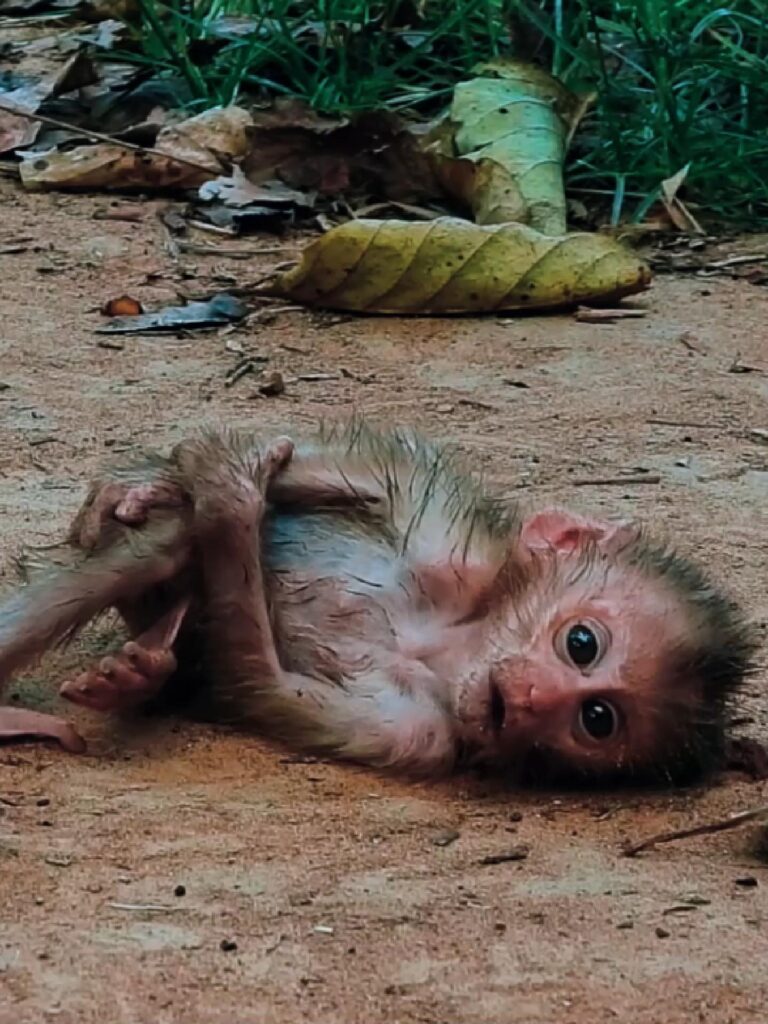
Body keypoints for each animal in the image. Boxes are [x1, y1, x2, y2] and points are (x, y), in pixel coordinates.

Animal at [0, 421, 758, 786]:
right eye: (581, 643)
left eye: (596, 720)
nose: (534, 699)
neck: (441, 642)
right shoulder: (451, 548)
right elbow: (359, 474)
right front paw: (183, 478)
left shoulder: (423, 733)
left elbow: (260, 684)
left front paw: (230, 502)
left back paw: (145, 666)